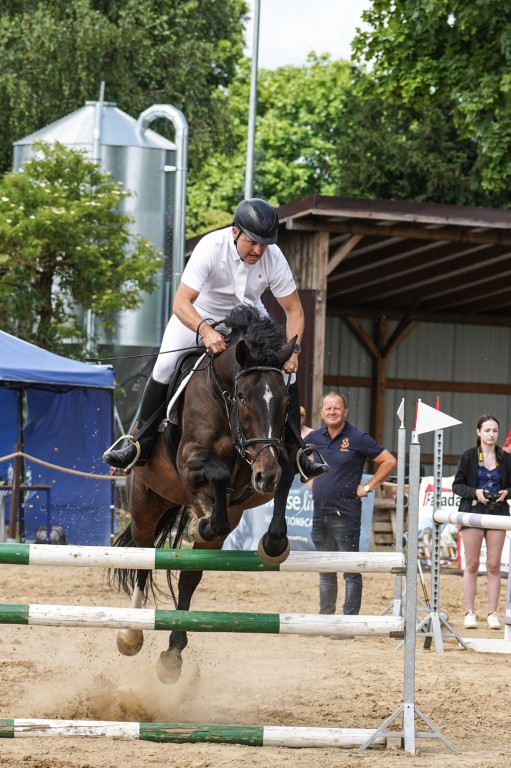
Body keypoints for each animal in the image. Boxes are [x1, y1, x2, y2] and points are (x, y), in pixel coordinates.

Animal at [111, 304, 296, 680]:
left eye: (286, 401)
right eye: (242, 398)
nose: (265, 476)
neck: (221, 395)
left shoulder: (266, 463)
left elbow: (283, 478)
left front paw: (273, 544)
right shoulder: (189, 461)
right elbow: (219, 472)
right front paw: (205, 522)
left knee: (189, 577)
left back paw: (172, 656)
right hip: (144, 506)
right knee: (143, 562)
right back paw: (131, 636)